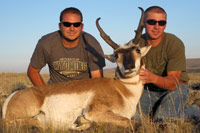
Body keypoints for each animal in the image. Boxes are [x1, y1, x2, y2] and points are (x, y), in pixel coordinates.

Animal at [1, 7, 150, 130]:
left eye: (137, 50)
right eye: (116, 55)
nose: (129, 67)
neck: (121, 89)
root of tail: (13, 96)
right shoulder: (93, 111)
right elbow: (127, 121)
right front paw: (79, 122)